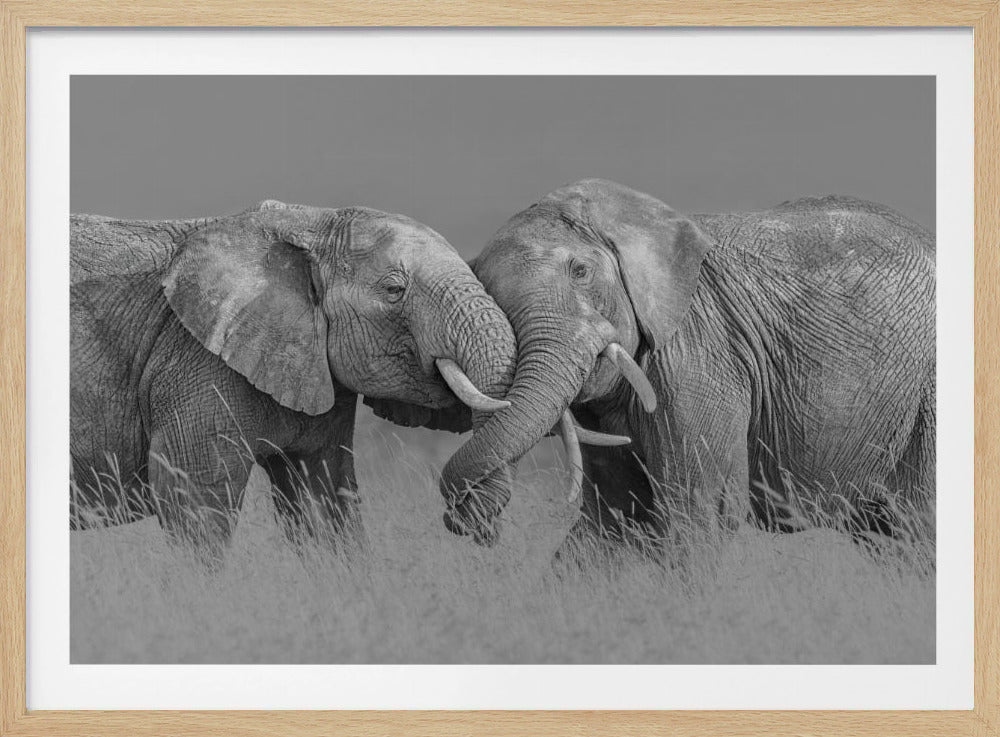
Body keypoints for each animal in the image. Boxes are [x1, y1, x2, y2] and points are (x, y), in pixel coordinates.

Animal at [70, 199, 517, 559]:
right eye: (394, 290)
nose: (469, 526)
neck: (310, 223)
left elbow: (322, 503)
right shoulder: (195, 362)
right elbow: (193, 501)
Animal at [436, 178, 935, 557]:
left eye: (580, 272)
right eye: (487, 291)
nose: (477, 527)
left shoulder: (698, 352)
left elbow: (698, 512)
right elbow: (612, 519)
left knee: (918, 526)